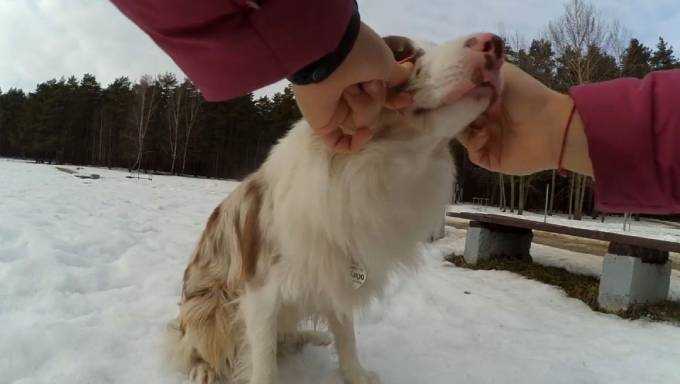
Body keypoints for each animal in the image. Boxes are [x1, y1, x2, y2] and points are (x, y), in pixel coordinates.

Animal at [167, 33, 502, 384]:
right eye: (404, 55)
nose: (493, 44)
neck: (376, 168)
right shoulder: (260, 292)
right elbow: (263, 362)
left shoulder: (337, 273)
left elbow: (346, 334)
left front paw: (355, 374)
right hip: (208, 310)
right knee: (192, 344)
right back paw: (203, 369)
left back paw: (308, 337)